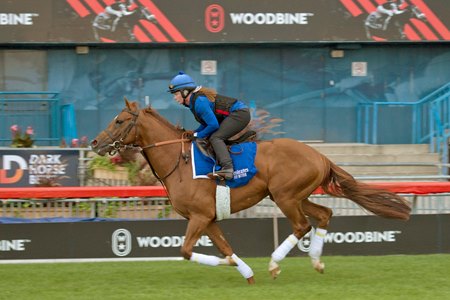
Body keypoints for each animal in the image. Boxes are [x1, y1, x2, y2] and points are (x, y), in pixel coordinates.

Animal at [90, 99, 412, 284]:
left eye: (119, 121)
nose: (94, 143)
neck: (178, 162)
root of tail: (320, 155)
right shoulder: (207, 218)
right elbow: (226, 248)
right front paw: (245, 272)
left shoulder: (199, 217)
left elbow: (187, 251)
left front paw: (239, 266)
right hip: (295, 195)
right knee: (324, 214)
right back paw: (316, 261)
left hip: (285, 196)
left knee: (302, 225)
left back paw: (274, 264)